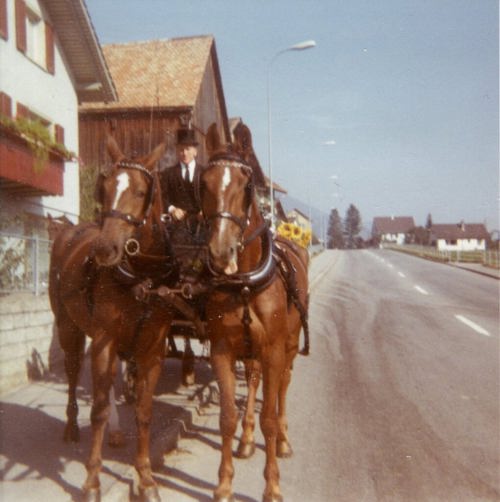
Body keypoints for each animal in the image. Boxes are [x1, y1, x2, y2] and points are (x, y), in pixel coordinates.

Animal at [49, 137, 174, 502]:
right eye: (103, 189)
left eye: (142, 190)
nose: (105, 250)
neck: (142, 278)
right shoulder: (104, 338)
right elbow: (100, 409)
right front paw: (92, 481)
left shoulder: (153, 350)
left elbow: (144, 412)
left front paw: (145, 478)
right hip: (69, 327)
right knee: (75, 373)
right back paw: (72, 425)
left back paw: (116, 432)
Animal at [199, 125, 308, 502]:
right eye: (204, 182)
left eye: (246, 184)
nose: (220, 252)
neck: (245, 283)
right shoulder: (222, 350)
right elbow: (227, 417)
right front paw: (223, 484)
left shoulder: (274, 350)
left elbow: (270, 419)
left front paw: (272, 486)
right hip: (250, 352)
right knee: (256, 381)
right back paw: (246, 441)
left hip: (287, 347)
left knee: (283, 389)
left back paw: (286, 441)